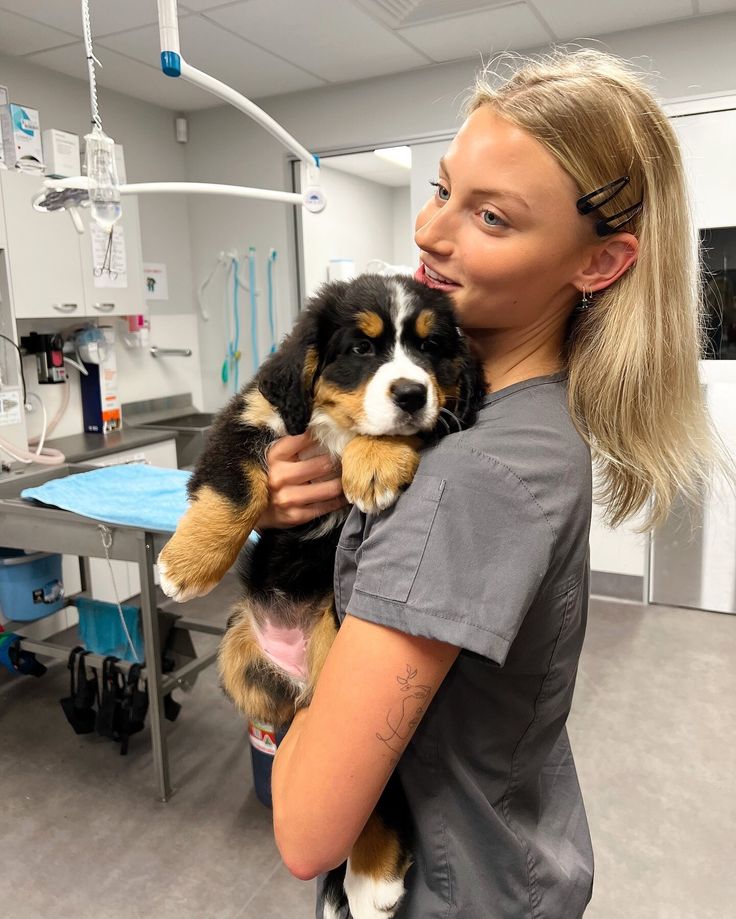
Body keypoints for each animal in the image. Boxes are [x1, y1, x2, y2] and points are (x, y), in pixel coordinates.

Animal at [158, 274, 486, 919]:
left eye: (431, 349)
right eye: (360, 348)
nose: (411, 393)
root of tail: (298, 673)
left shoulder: (448, 411)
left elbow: (415, 429)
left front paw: (376, 460)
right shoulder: (251, 416)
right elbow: (234, 488)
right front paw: (185, 565)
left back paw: (373, 878)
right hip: (238, 651)